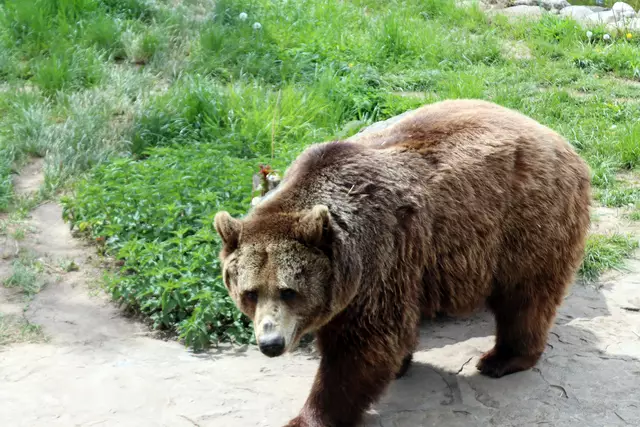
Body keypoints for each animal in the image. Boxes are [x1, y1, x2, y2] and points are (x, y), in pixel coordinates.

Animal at [213, 99, 591, 427]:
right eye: (249, 292)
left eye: (288, 291)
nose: (270, 344)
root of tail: (563, 142)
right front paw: (401, 363)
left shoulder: (378, 256)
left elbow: (363, 344)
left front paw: (309, 417)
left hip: (527, 221)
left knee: (525, 297)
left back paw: (502, 358)